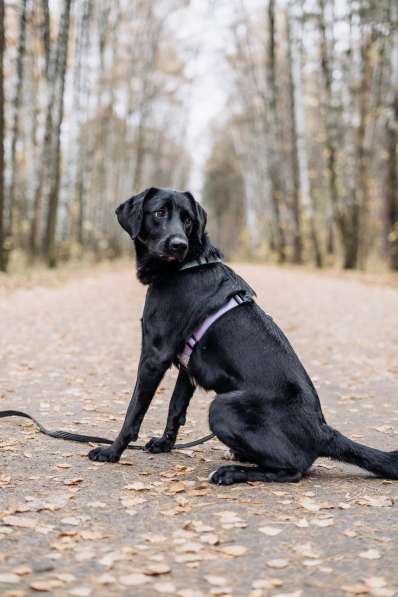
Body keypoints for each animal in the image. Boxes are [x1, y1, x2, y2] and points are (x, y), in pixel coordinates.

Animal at [89, 187, 398, 484]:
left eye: (187, 220)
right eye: (160, 212)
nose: (179, 244)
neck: (187, 265)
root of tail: (322, 431)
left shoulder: (154, 356)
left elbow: (134, 412)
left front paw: (112, 451)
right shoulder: (186, 367)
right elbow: (175, 409)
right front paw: (164, 445)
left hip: (222, 407)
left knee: (294, 469)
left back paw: (231, 472)